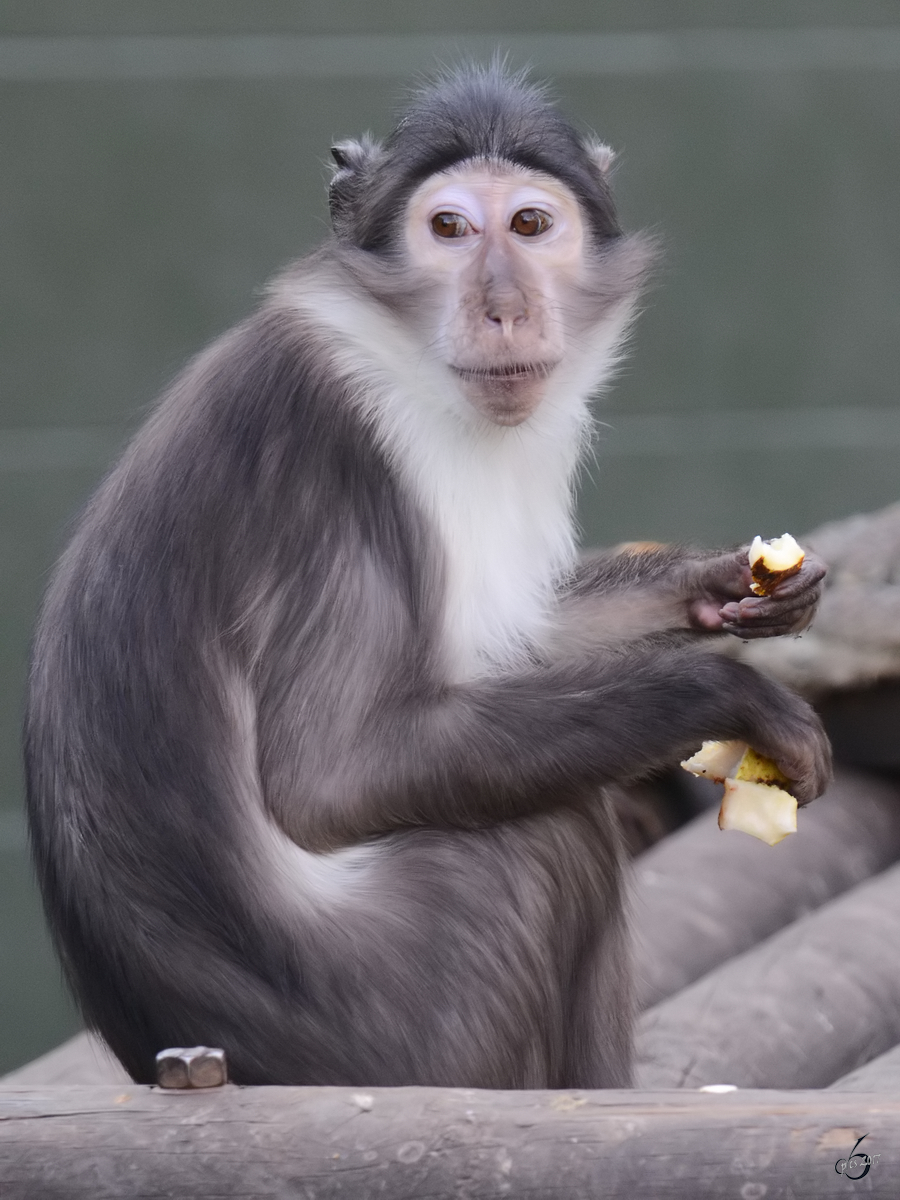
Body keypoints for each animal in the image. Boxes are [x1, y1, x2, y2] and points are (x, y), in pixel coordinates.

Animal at [24, 68, 835, 1099]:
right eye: (448, 229)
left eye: (529, 224)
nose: (503, 306)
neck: (407, 365)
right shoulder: (338, 454)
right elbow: (331, 776)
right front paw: (724, 691)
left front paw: (725, 583)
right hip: (426, 1031)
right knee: (554, 829)